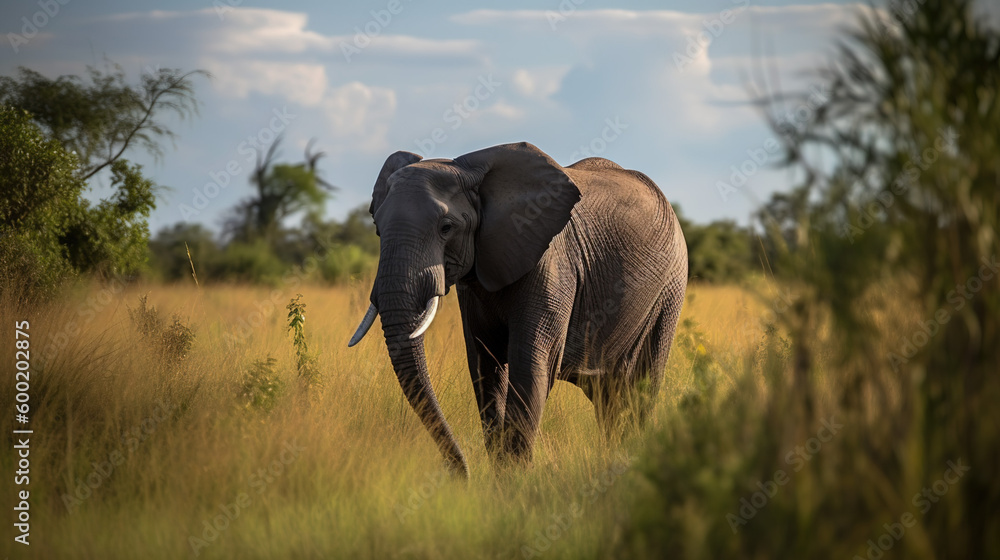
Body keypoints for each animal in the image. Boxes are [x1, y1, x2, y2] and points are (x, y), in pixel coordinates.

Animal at [348, 142, 687, 477]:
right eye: (377, 228)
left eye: (446, 227)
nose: (461, 474)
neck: (470, 170)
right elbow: (484, 365)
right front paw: (502, 481)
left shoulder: (552, 265)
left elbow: (531, 365)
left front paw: (515, 484)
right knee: (610, 398)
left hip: (670, 289)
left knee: (640, 388)